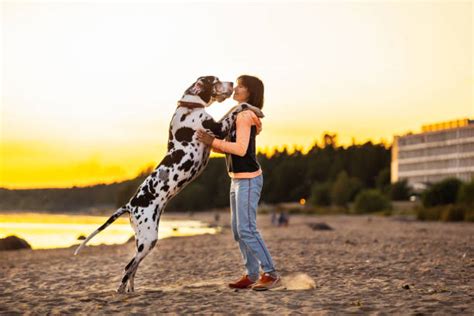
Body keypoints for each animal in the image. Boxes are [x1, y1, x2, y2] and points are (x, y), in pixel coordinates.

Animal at [74, 75, 262, 292]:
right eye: (214, 80)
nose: (232, 83)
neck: (189, 106)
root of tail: (130, 204)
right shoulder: (218, 129)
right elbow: (238, 107)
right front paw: (256, 110)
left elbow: (233, 108)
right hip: (147, 239)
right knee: (128, 266)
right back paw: (121, 292)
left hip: (145, 240)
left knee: (133, 268)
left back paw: (131, 291)